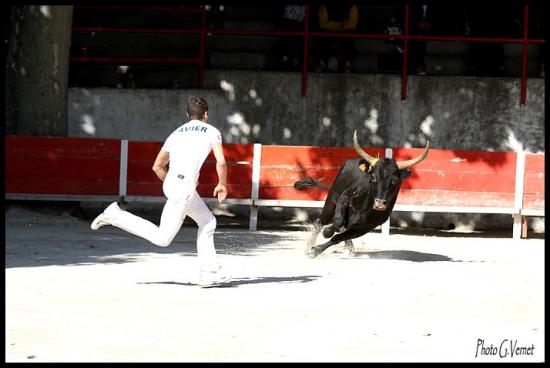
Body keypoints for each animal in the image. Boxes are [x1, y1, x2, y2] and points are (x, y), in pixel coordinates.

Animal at [296, 131, 430, 258]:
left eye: (395, 180)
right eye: (374, 177)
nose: (380, 203)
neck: (365, 207)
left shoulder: (364, 228)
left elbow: (338, 237)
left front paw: (316, 250)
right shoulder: (344, 198)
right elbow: (337, 221)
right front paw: (326, 233)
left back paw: (347, 248)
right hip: (331, 202)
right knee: (320, 222)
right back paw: (309, 247)